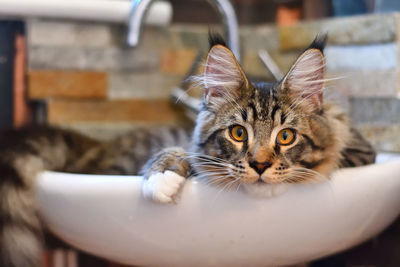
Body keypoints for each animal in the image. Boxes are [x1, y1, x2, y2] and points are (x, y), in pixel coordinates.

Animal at [0, 34, 376, 267]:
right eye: (238, 133)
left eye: (285, 137)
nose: (259, 165)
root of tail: (94, 145)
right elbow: (186, 155)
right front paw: (164, 174)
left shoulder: (361, 151)